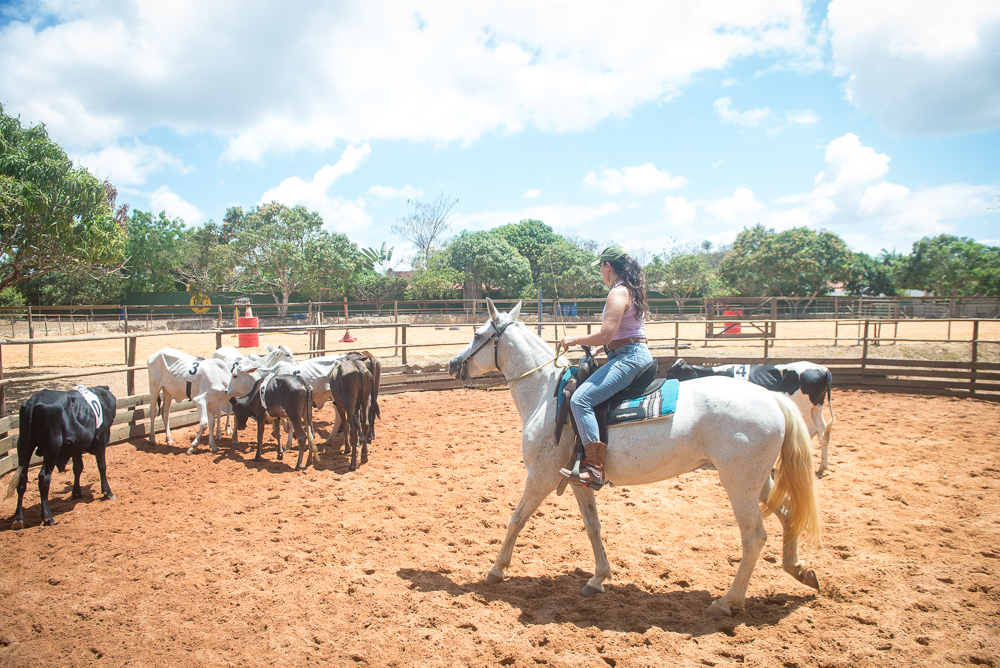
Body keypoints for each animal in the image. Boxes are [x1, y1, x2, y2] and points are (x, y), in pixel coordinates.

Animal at [5, 386, 116, 528]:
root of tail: (33, 402)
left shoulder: (76, 447)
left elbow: (78, 468)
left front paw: (76, 493)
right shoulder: (101, 439)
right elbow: (102, 466)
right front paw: (107, 492)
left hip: (24, 445)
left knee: (22, 477)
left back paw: (18, 518)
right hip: (52, 448)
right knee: (44, 478)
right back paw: (47, 517)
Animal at [448, 300, 820, 620]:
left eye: (478, 335)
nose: (453, 365)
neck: (546, 394)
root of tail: (772, 399)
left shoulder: (541, 477)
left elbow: (516, 519)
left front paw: (496, 569)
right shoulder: (579, 480)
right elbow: (593, 527)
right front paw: (598, 578)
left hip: (739, 482)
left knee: (754, 536)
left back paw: (727, 601)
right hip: (761, 480)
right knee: (789, 516)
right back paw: (800, 569)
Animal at [668, 360, 840, 474]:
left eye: (673, 372)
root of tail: (824, 370)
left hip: (804, 408)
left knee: (811, 430)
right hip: (817, 407)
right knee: (822, 432)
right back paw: (821, 465)